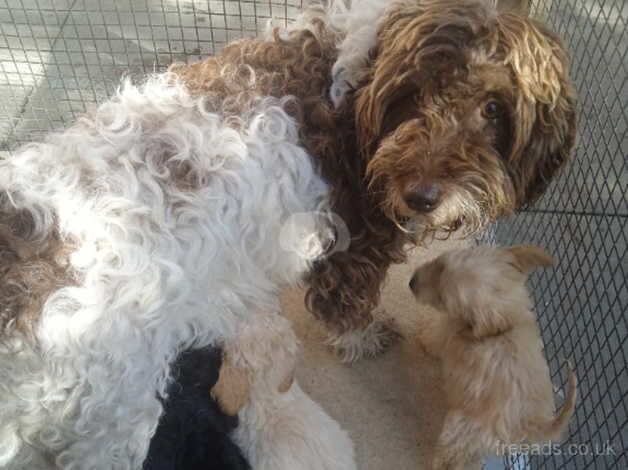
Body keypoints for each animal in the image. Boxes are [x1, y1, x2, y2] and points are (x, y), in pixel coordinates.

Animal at [174, 0, 576, 362]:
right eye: (412, 94)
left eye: (493, 107)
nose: (420, 197)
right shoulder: (350, 245)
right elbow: (346, 306)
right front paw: (362, 339)